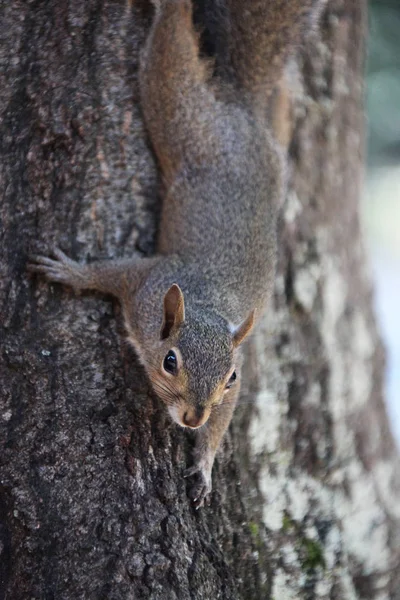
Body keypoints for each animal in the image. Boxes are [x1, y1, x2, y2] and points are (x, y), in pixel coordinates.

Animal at [29, 0, 324, 506]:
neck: (203, 305)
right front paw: (71, 272)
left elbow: (224, 421)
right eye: (170, 362)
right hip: (180, 117)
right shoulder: (145, 283)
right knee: (170, 56)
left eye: (229, 377)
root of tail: (239, 112)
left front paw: (204, 467)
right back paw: (167, 6)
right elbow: (113, 272)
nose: (193, 417)